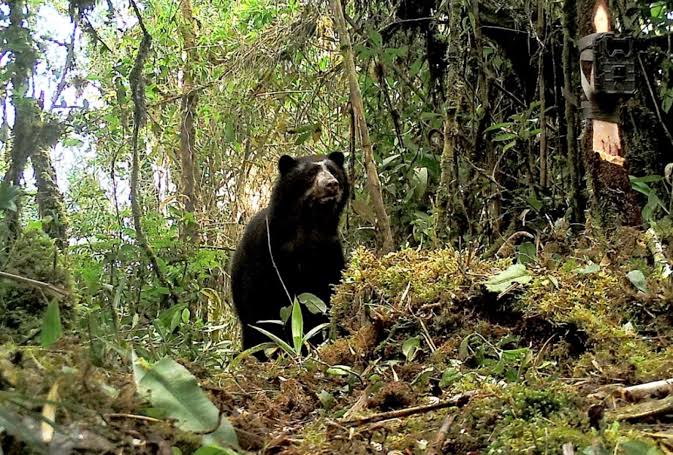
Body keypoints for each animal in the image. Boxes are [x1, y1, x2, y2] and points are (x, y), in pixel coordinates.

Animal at [230, 151, 350, 354]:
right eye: (310, 174)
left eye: (333, 171)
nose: (332, 184)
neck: (310, 223)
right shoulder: (265, 254)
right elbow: (260, 306)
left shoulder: (329, 251)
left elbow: (331, 290)